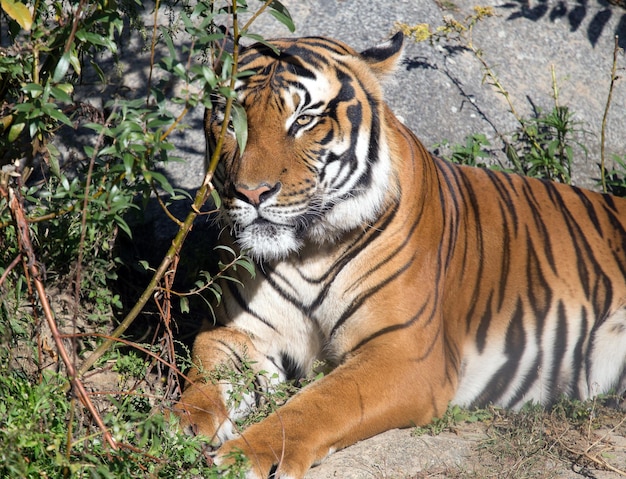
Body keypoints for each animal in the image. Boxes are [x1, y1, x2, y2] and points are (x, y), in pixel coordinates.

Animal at [173, 31, 624, 478]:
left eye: (304, 119)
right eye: (230, 119)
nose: (252, 193)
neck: (307, 251)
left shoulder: (403, 353)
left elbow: (319, 403)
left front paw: (246, 455)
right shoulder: (237, 332)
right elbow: (204, 379)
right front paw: (175, 425)